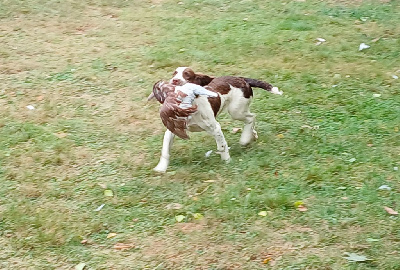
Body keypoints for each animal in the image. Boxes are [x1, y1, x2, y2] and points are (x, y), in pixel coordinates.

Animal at [148, 68, 282, 173]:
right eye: (174, 73)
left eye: (187, 75)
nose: (175, 80)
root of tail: (241, 78)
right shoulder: (172, 129)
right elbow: (165, 149)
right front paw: (160, 168)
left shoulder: (215, 127)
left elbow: (222, 145)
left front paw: (227, 161)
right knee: (251, 117)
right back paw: (251, 135)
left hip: (236, 111)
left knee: (251, 117)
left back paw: (244, 139)